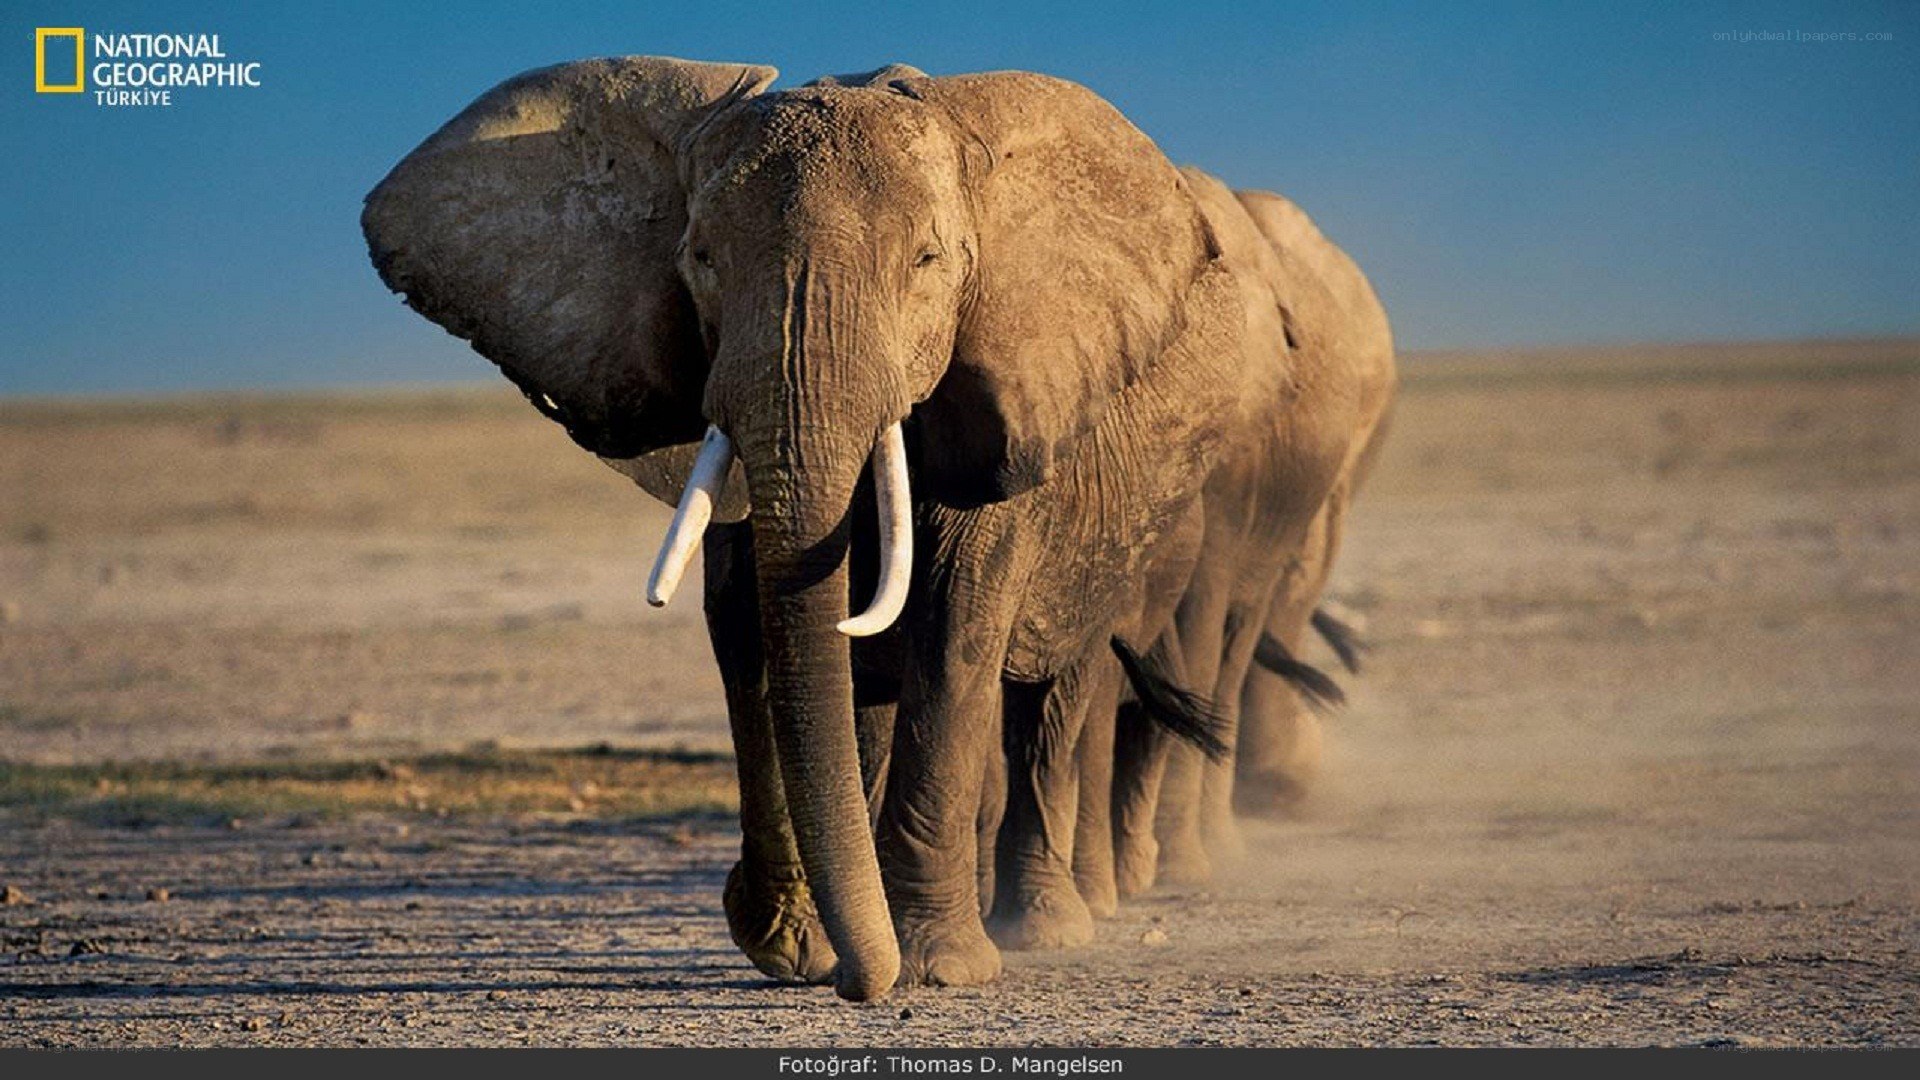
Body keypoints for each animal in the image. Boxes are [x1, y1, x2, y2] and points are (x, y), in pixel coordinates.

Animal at [362, 54, 1392, 1001]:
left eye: (929, 263)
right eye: (699, 259)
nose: (857, 980)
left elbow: (955, 618)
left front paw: (937, 968)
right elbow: (752, 624)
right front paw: (794, 947)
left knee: (1071, 686)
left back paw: (1053, 924)